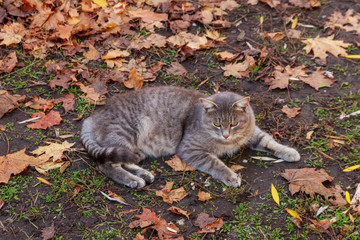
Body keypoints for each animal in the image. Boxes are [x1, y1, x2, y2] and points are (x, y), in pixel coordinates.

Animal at [80, 87, 300, 188]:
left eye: (234, 124)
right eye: (217, 124)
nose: (226, 135)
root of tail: (92, 116)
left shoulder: (252, 133)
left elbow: (269, 141)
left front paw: (289, 152)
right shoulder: (191, 150)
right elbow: (215, 164)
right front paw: (230, 176)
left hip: (132, 149)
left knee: (124, 160)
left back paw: (144, 174)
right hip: (125, 135)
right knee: (107, 165)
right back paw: (133, 180)